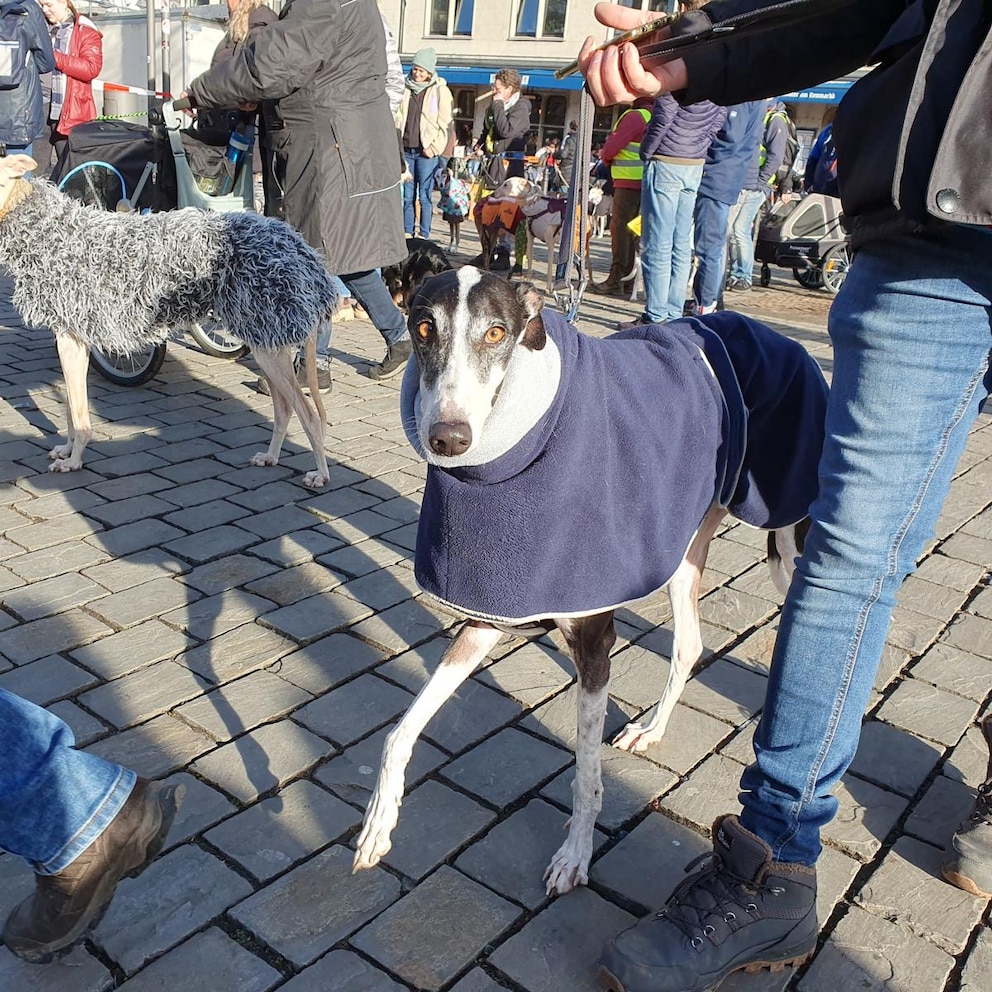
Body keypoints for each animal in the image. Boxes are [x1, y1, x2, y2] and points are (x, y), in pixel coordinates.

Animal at [0, 154, 336, 488]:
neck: (48, 230)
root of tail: (302, 250)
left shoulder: (70, 341)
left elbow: (79, 412)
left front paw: (74, 460)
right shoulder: (73, 339)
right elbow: (71, 408)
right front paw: (67, 450)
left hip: (269, 343)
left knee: (308, 413)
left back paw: (321, 473)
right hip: (264, 340)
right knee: (284, 408)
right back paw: (270, 457)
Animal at [356, 268, 828, 896]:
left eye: (497, 332)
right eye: (423, 327)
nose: (449, 438)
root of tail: (780, 338)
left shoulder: (595, 643)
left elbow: (584, 773)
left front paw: (575, 856)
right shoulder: (487, 618)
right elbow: (398, 733)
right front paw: (377, 826)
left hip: (793, 538)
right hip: (684, 547)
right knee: (690, 644)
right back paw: (649, 731)